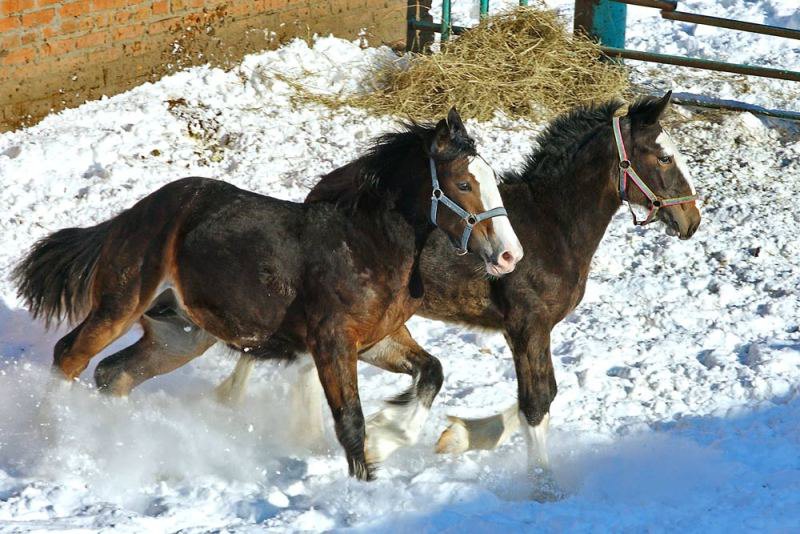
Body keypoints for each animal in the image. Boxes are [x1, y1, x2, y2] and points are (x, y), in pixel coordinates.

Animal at [15, 109, 524, 482]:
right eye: (463, 184)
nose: (509, 255)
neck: (366, 245)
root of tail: (133, 215)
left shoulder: (377, 340)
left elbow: (431, 372)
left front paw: (391, 438)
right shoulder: (331, 343)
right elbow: (350, 422)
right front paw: (367, 478)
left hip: (180, 335)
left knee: (112, 374)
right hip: (120, 304)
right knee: (71, 357)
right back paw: (51, 441)